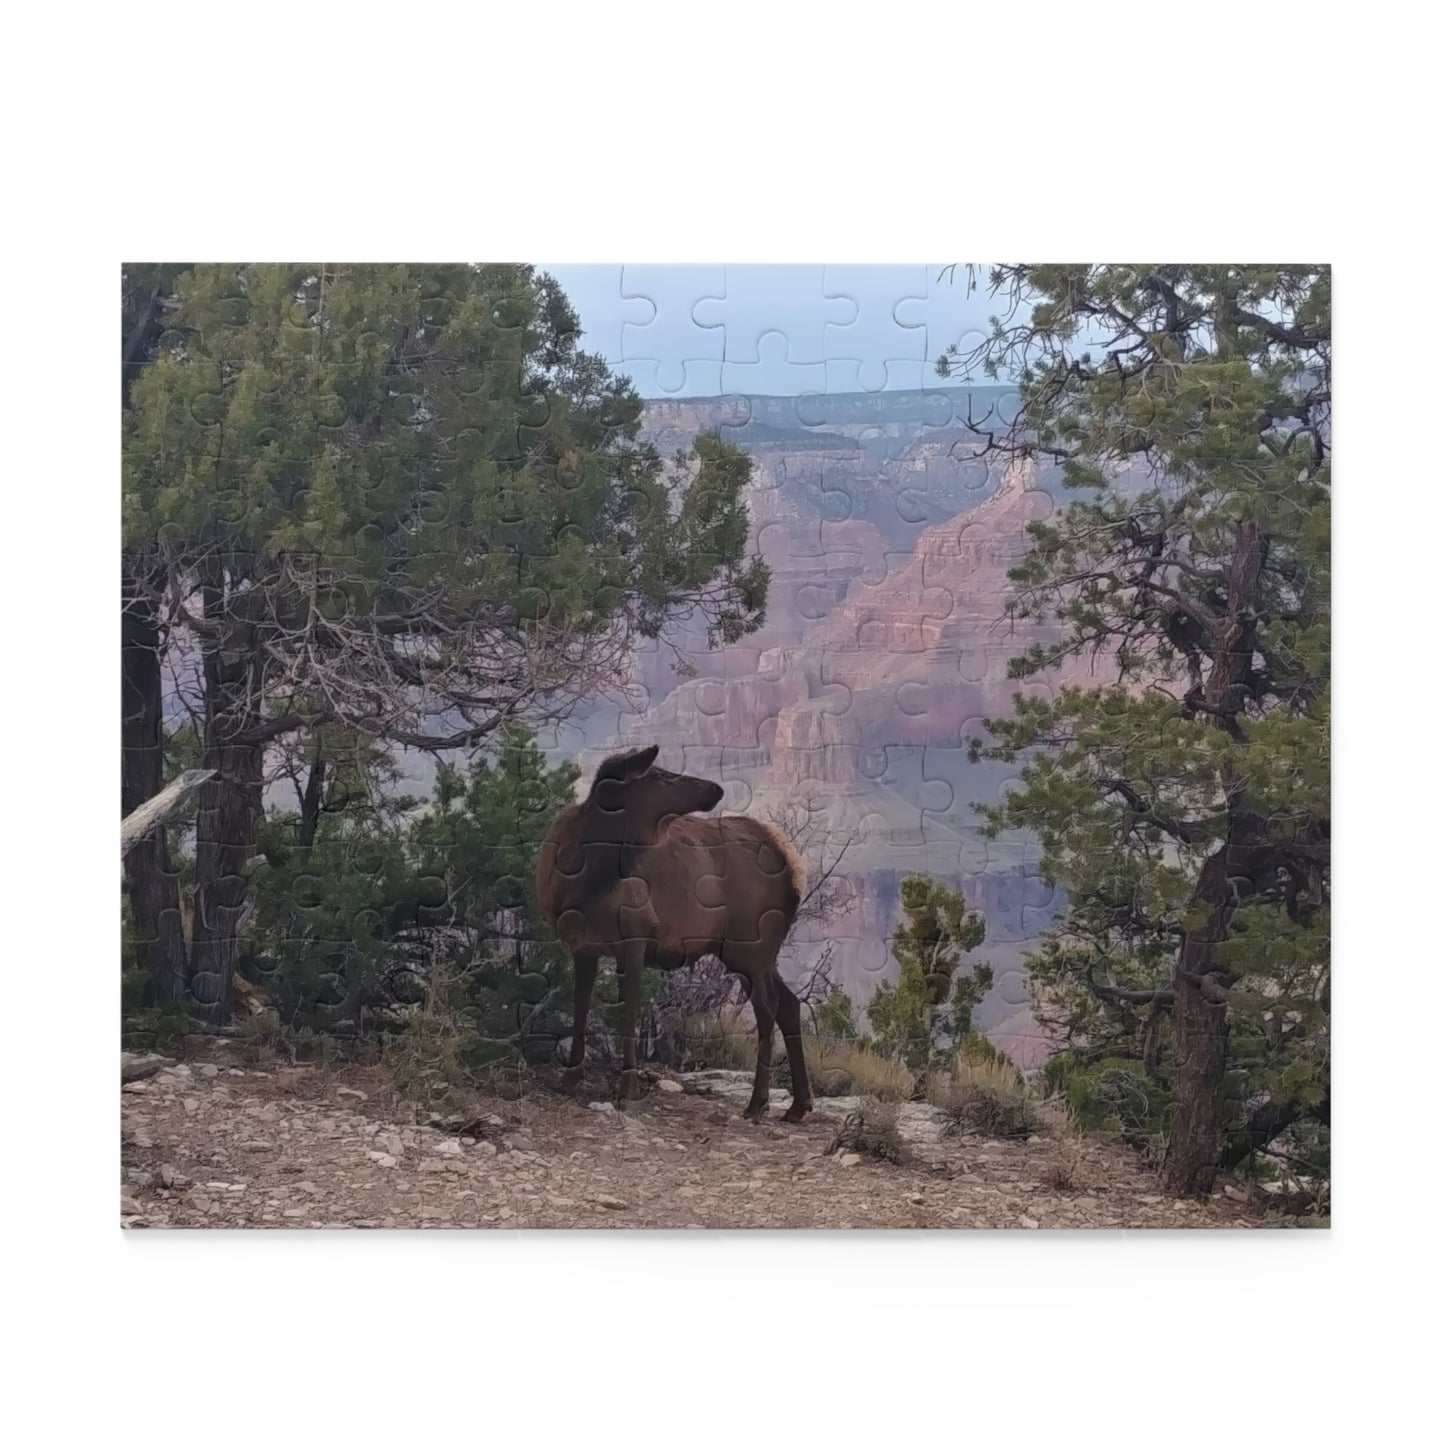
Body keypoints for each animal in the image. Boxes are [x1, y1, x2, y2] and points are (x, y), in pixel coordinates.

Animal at [543, 745, 814, 1115]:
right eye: (658, 775)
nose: (715, 787)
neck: (583, 883)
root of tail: (796, 868)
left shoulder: (635, 934)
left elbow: (628, 1013)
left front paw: (627, 1089)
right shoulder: (582, 945)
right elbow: (580, 1008)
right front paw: (568, 1080)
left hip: (750, 943)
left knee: (768, 1007)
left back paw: (757, 1104)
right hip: (753, 951)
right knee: (789, 1003)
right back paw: (798, 1105)